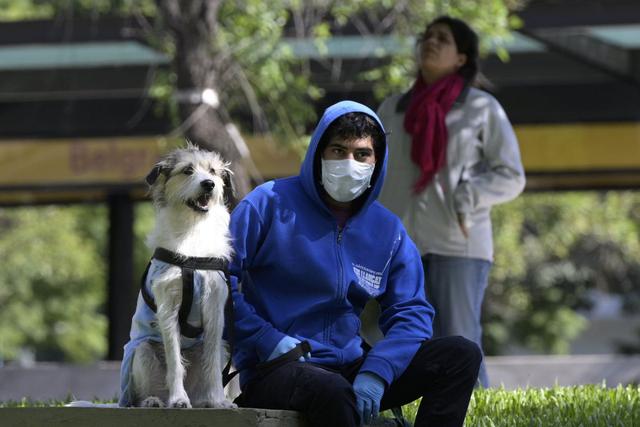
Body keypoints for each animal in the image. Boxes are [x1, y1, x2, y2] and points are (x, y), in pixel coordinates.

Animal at [119, 145, 238, 410]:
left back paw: (207, 400)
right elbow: (174, 360)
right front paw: (178, 399)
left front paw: (219, 400)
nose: (208, 184)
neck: (193, 231)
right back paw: (154, 400)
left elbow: (212, 363)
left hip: (224, 348)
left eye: (213, 171)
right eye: (187, 170)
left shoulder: (215, 305)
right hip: (141, 350)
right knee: (138, 394)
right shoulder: (168, 305)